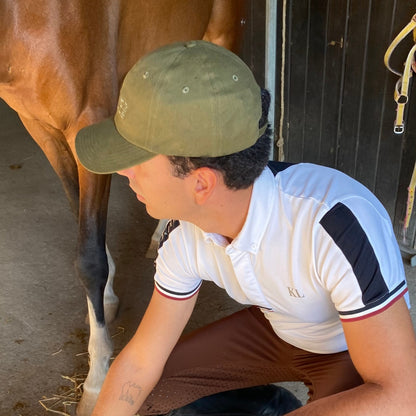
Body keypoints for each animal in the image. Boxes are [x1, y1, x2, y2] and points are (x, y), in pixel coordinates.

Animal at [0, 1, 245, 414]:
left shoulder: (86, 121)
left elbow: (89, 259)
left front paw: (97, 379)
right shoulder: (42, 130)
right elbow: (81, 219)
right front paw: (108, 300)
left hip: (222, 39)